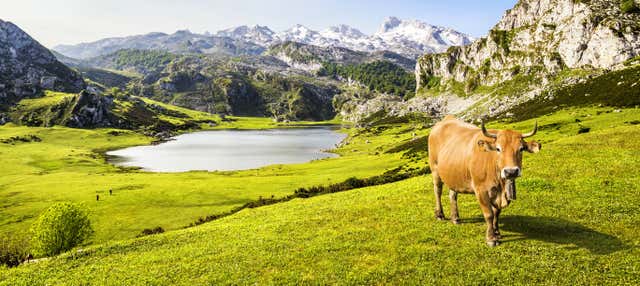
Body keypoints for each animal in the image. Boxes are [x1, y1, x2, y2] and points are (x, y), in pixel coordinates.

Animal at [428, 115, 544, 246]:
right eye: (498, 149)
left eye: (521, 149)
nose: (511, 171)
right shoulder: (481, 190)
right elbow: (489, 214)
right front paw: (491, 238)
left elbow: (496, 212)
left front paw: (497, 232)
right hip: (435, 169)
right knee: (437, 191)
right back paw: (440, 214)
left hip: (454, 175)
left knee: (452, 195)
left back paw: (455, 218)